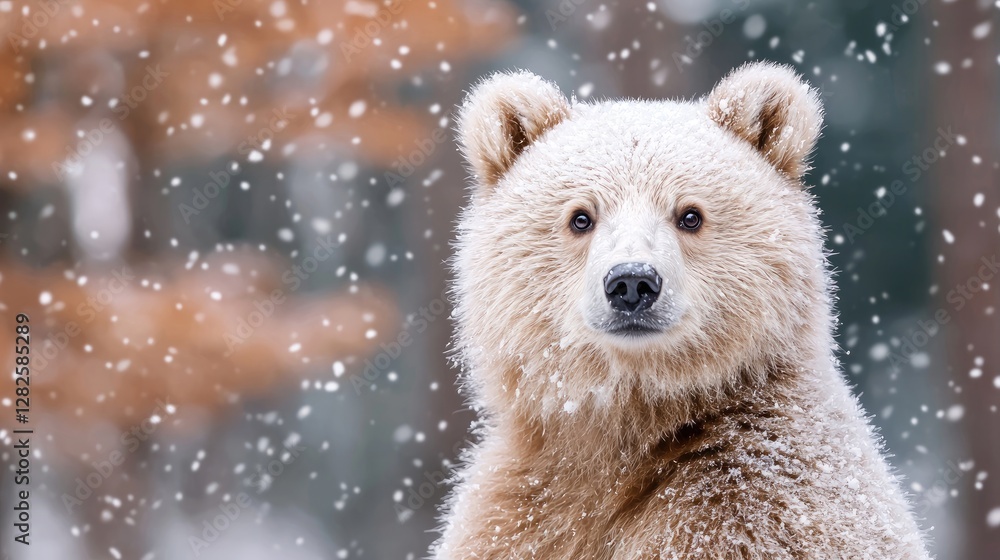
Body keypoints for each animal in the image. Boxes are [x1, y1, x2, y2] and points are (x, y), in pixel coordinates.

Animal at [434, 62, 929, 559]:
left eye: (690, 215)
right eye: (581, 217)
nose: (632, 283)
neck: (628, 427)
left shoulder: (748, 504)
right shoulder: (521, 510)